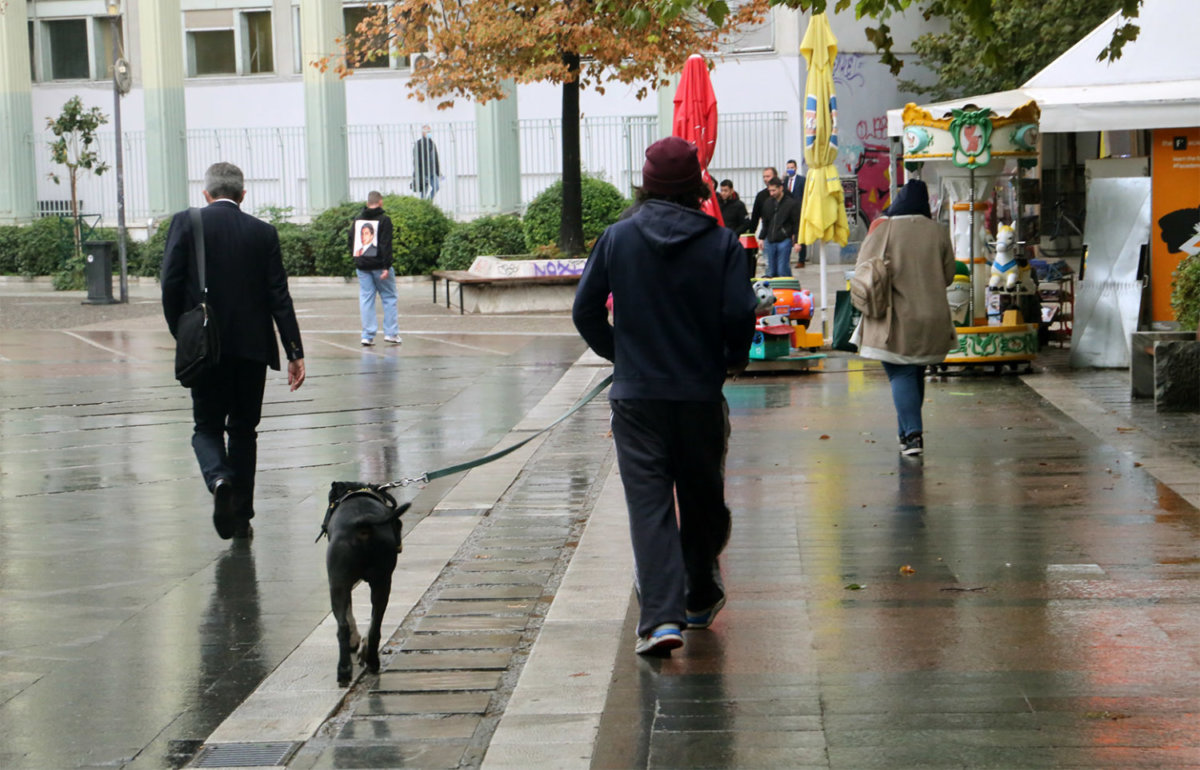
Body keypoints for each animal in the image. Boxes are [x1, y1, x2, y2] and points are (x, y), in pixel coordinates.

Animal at [321, 479, 410, 681]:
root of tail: (362, 523)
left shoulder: (342, 584)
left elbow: (349, 613)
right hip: (382, 582)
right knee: (375, 626)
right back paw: (371, 661)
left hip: (337, 585)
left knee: (343, 626)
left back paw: (345, 669)